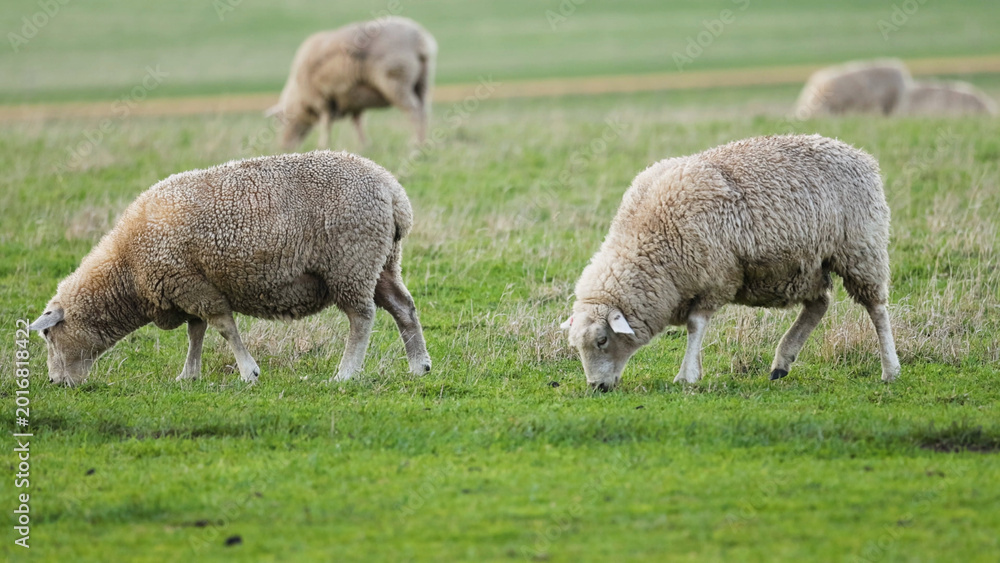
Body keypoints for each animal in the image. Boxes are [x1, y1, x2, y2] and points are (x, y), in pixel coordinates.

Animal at [28, 150, 432, 386]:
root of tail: (393, 192)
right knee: (403, 308)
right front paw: (188, 374)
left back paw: (346, 372)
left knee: (362, 318)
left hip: (351, 261)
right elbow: (196, 332)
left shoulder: (193, 285)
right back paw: (419, 365)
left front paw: (248, 372)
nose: (54, 382)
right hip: (381, 262)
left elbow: (224, 328)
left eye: (48, 335)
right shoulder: (189, 287)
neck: (127, 269)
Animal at [267, 16, 437, 150]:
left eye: (280, 122)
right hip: (422, 82)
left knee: (414, 111)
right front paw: (364, 145)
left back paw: (415, 143)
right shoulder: (354, 101)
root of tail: (419, 39)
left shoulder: (322, 99)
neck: (298, 95)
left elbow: (325, 124)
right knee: (424, 111)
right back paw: (424, 142)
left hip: (396, 81)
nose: (283, 147)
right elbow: (357, 123)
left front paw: (323, 144)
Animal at [561, 134, 901, 391]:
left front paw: (686, 375)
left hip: (861, 248)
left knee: (876, 308)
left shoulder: (717, 278)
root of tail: (859, 154)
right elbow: (694, 328)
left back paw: (891, 369)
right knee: (819, 303)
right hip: (807, 265)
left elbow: (695, 325)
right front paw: (695, 369)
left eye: (602, 340)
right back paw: (782, 362)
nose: (597, 387)